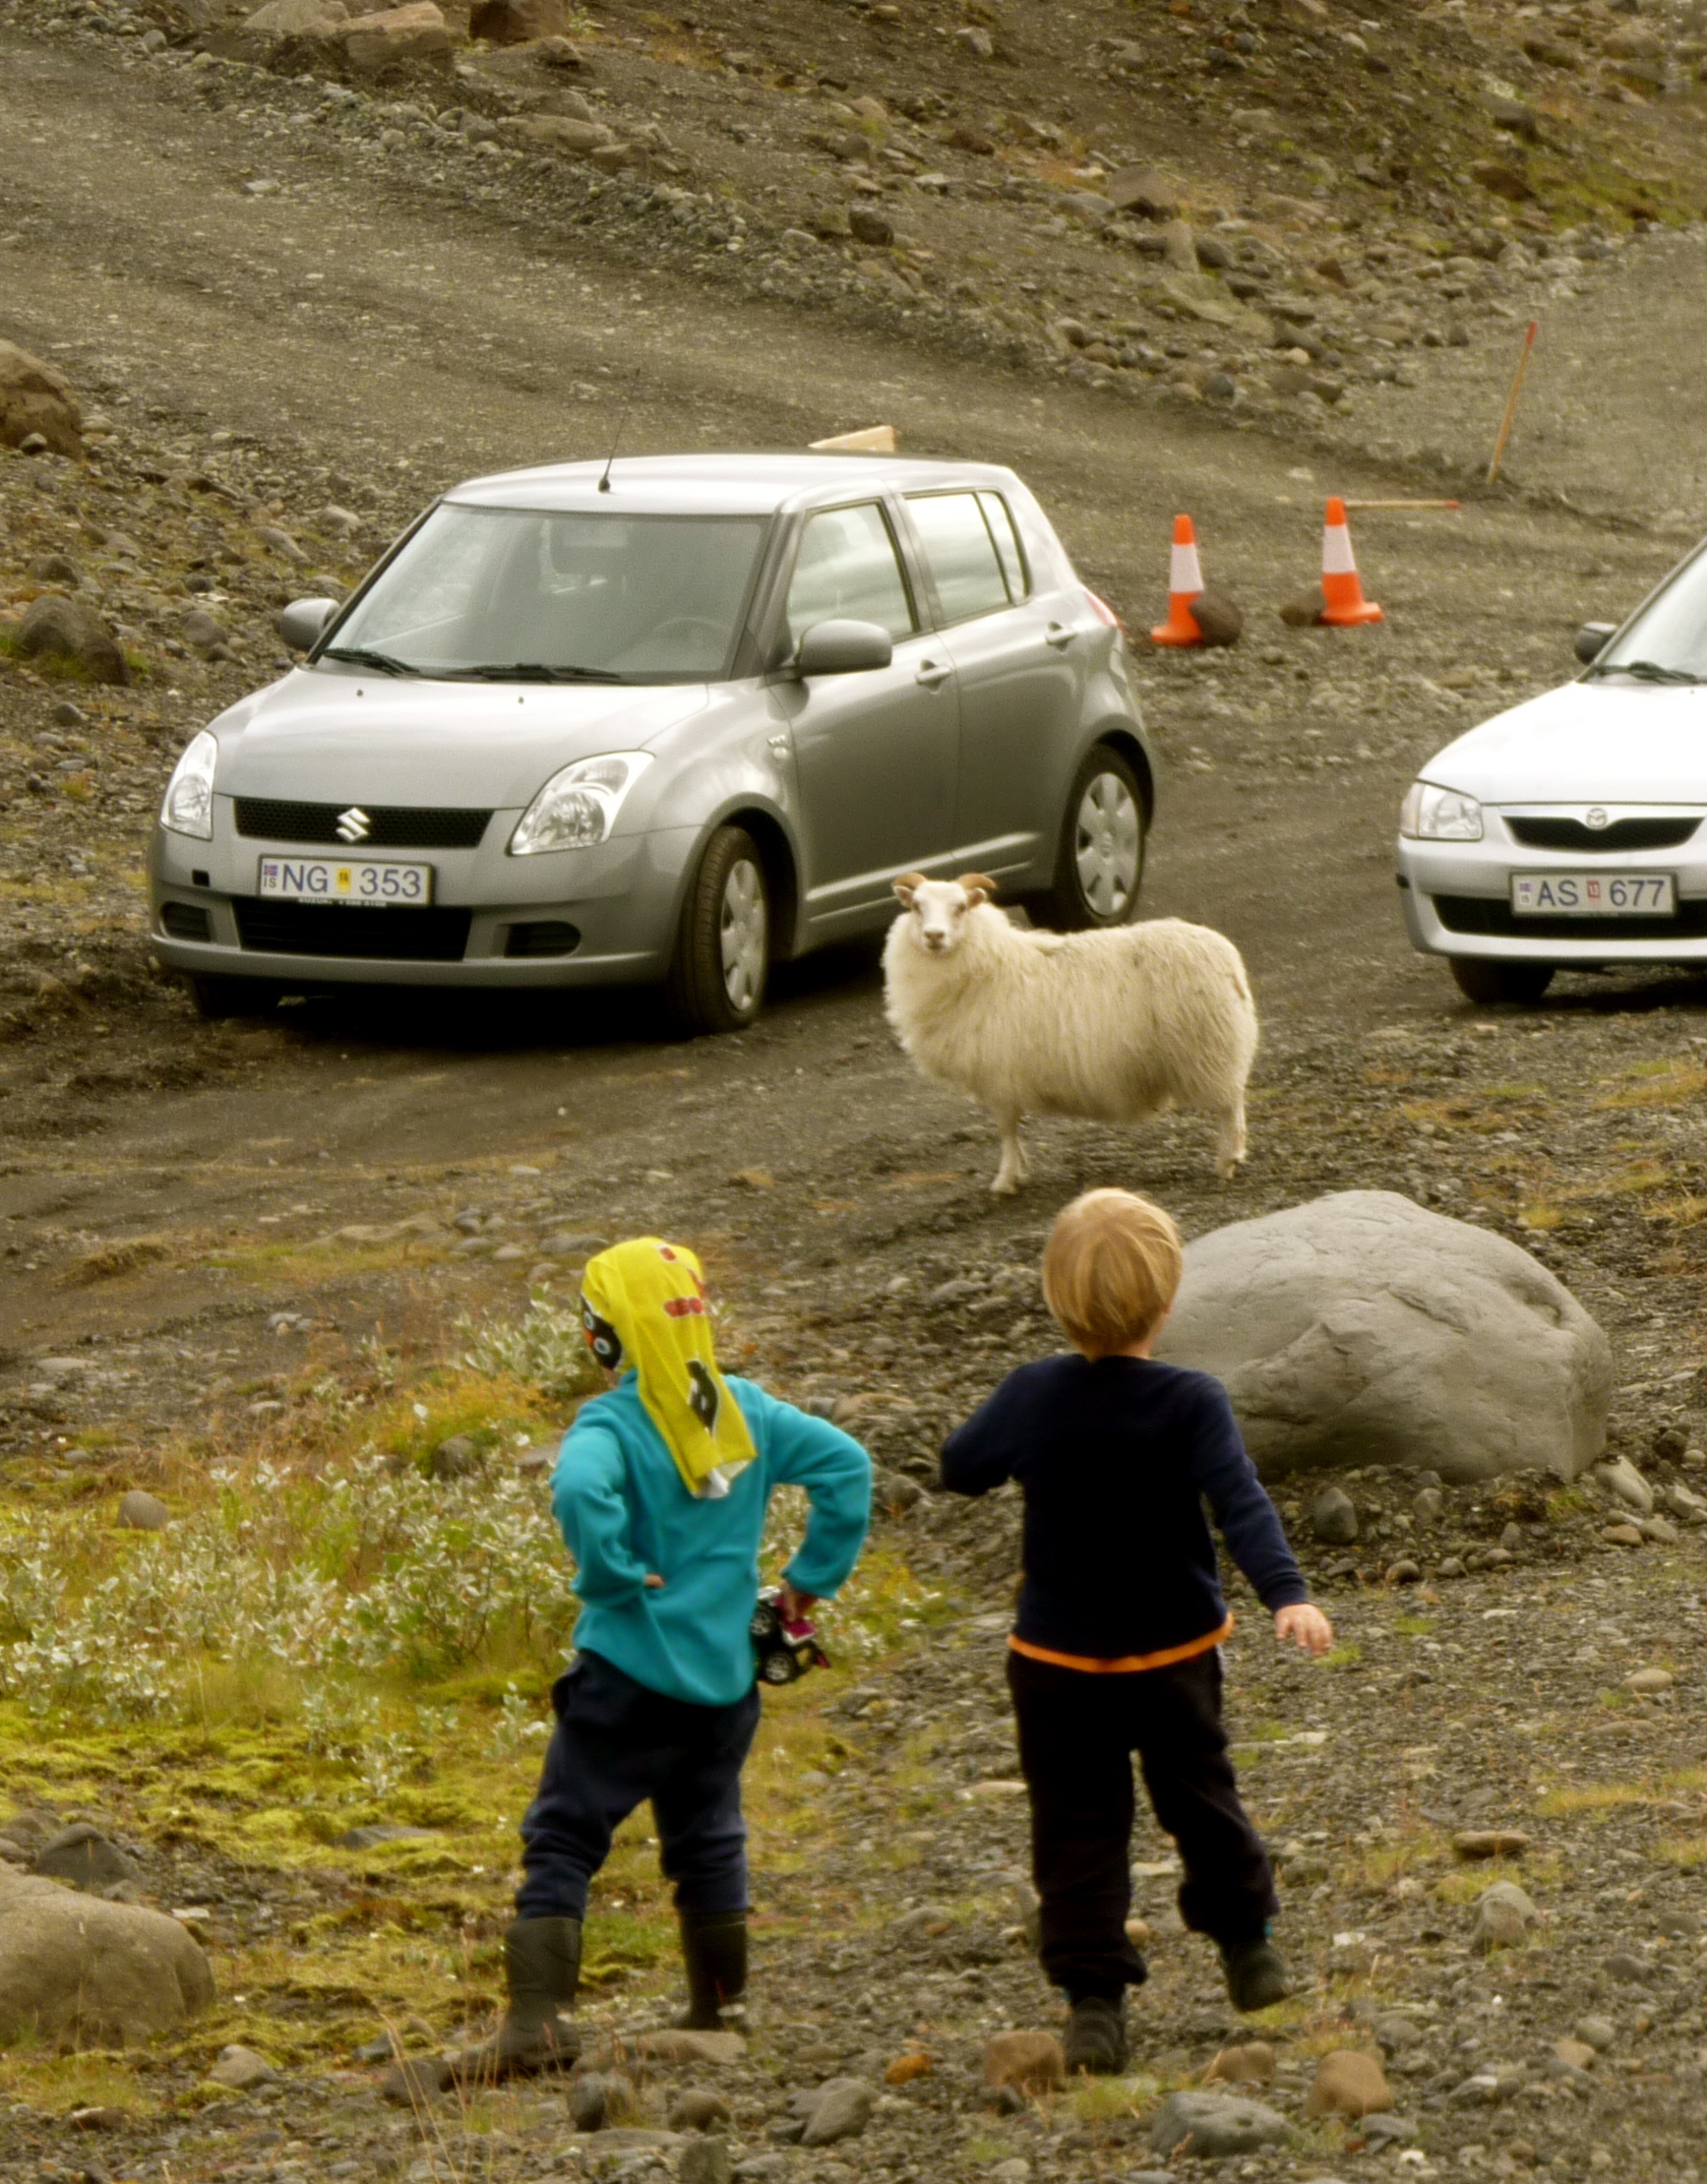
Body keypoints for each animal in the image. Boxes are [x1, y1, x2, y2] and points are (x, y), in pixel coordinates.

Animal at [890, 874, 1265, 1205]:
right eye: (917, 907)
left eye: (961, 907)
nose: (934, 936)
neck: (987, 961)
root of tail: (1227, 958)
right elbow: (1013, 1132)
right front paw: (1021, 1172)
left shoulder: (998, 1077)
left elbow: (1007, 1131)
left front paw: (1006, 1179)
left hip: (1211, 1049)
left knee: (1229, 1107)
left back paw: (1227, 1161)